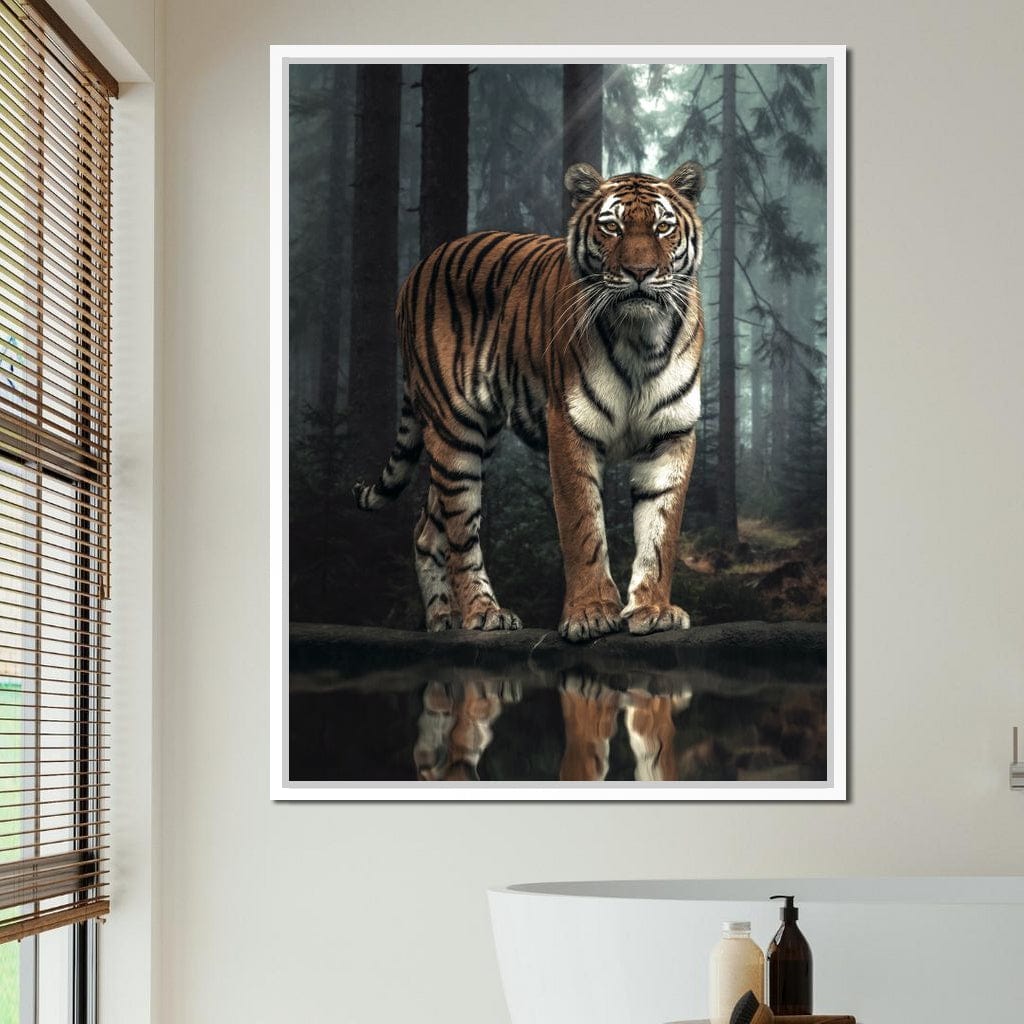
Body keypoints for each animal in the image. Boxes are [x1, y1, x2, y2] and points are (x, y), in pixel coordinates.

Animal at [354, 160, 705, 643]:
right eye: (611, 227)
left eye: (663, 227)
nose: (640, 272)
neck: (641, 338)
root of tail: (418, 267)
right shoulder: (569, 426)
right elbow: (582, 527)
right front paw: (591, 614)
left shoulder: (671, 435)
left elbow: (660, 532)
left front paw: (653, 610)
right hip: (455, 431)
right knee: (460, 532)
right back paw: (483, 614)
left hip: (476, 437)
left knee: (428, 528)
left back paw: (442, 621)